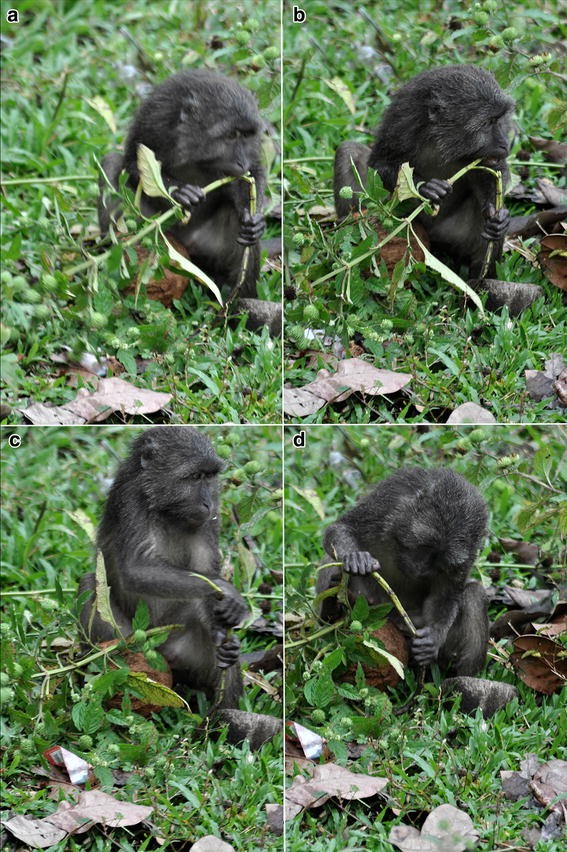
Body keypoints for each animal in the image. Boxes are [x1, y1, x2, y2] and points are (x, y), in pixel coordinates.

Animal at [79, 426, 249, 709]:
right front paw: (226, 590)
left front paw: (226, 633)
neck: (167, 510)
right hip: (129, 641)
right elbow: (135, 570)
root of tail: (161, 652)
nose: (208, 504)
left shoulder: (209, 518)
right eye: (195, 476)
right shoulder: (130, 500)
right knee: (91, 584)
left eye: (209, 476)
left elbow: (204, 569)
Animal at [98, 69, 266, 299]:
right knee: (112, 164)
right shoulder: (155, 121)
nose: (241, 162)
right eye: (232, 135)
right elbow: (133, 164)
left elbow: (253, 173)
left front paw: (253, 218)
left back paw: (239, 302)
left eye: (247, 135)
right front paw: (179, 192)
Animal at [316, 467, 490, 676]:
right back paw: (332, 608)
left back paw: (462, 679)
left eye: (441, 560)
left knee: (474, 593)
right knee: (332, 561)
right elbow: (342, 528)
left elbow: (446, 594)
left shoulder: (468, 553)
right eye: (424, 546)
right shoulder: (388, 502)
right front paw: (356, 558)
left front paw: (434, 638)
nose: (420, 568)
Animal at [334, 65, 515, 278]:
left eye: (500, 120)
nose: (504, 144)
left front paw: (497, 216)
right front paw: (425, 187)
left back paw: (481, 282)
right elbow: (379, 163)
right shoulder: (401, 122)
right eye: (488, 123)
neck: (441, 138)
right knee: (348, 150)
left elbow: (493, 172)